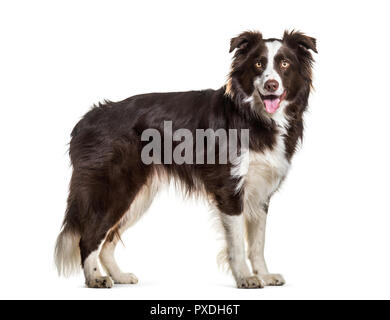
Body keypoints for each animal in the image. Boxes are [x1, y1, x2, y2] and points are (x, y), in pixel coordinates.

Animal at [54, 30, 316, 288]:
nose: (272, 85)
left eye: (285, 64)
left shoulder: (261, 192)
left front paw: (264, 275)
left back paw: (119, 276)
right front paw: (244, 278)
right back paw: (95, 278)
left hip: (138, 196)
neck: (254, 116)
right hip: (114, 189)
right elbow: (237, 243)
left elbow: (257, 242)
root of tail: (87, 118)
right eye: (258, 63)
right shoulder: (229, 189)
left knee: (108, 239)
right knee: (89, 236)